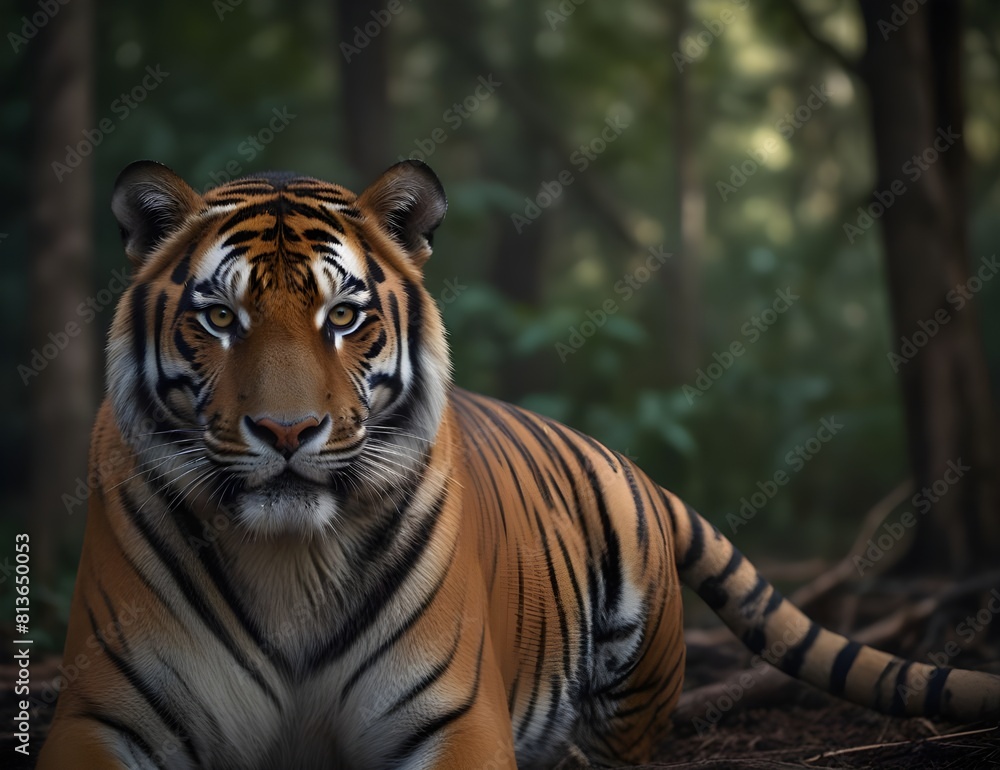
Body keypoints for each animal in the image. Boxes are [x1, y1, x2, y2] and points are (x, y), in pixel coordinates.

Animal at [38, 159, 1000, 770]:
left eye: (343, 317)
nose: (286, 430)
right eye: (220, 318)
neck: (286, 562)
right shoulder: (101, 713)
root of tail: (638, 470)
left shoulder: (454, 718)